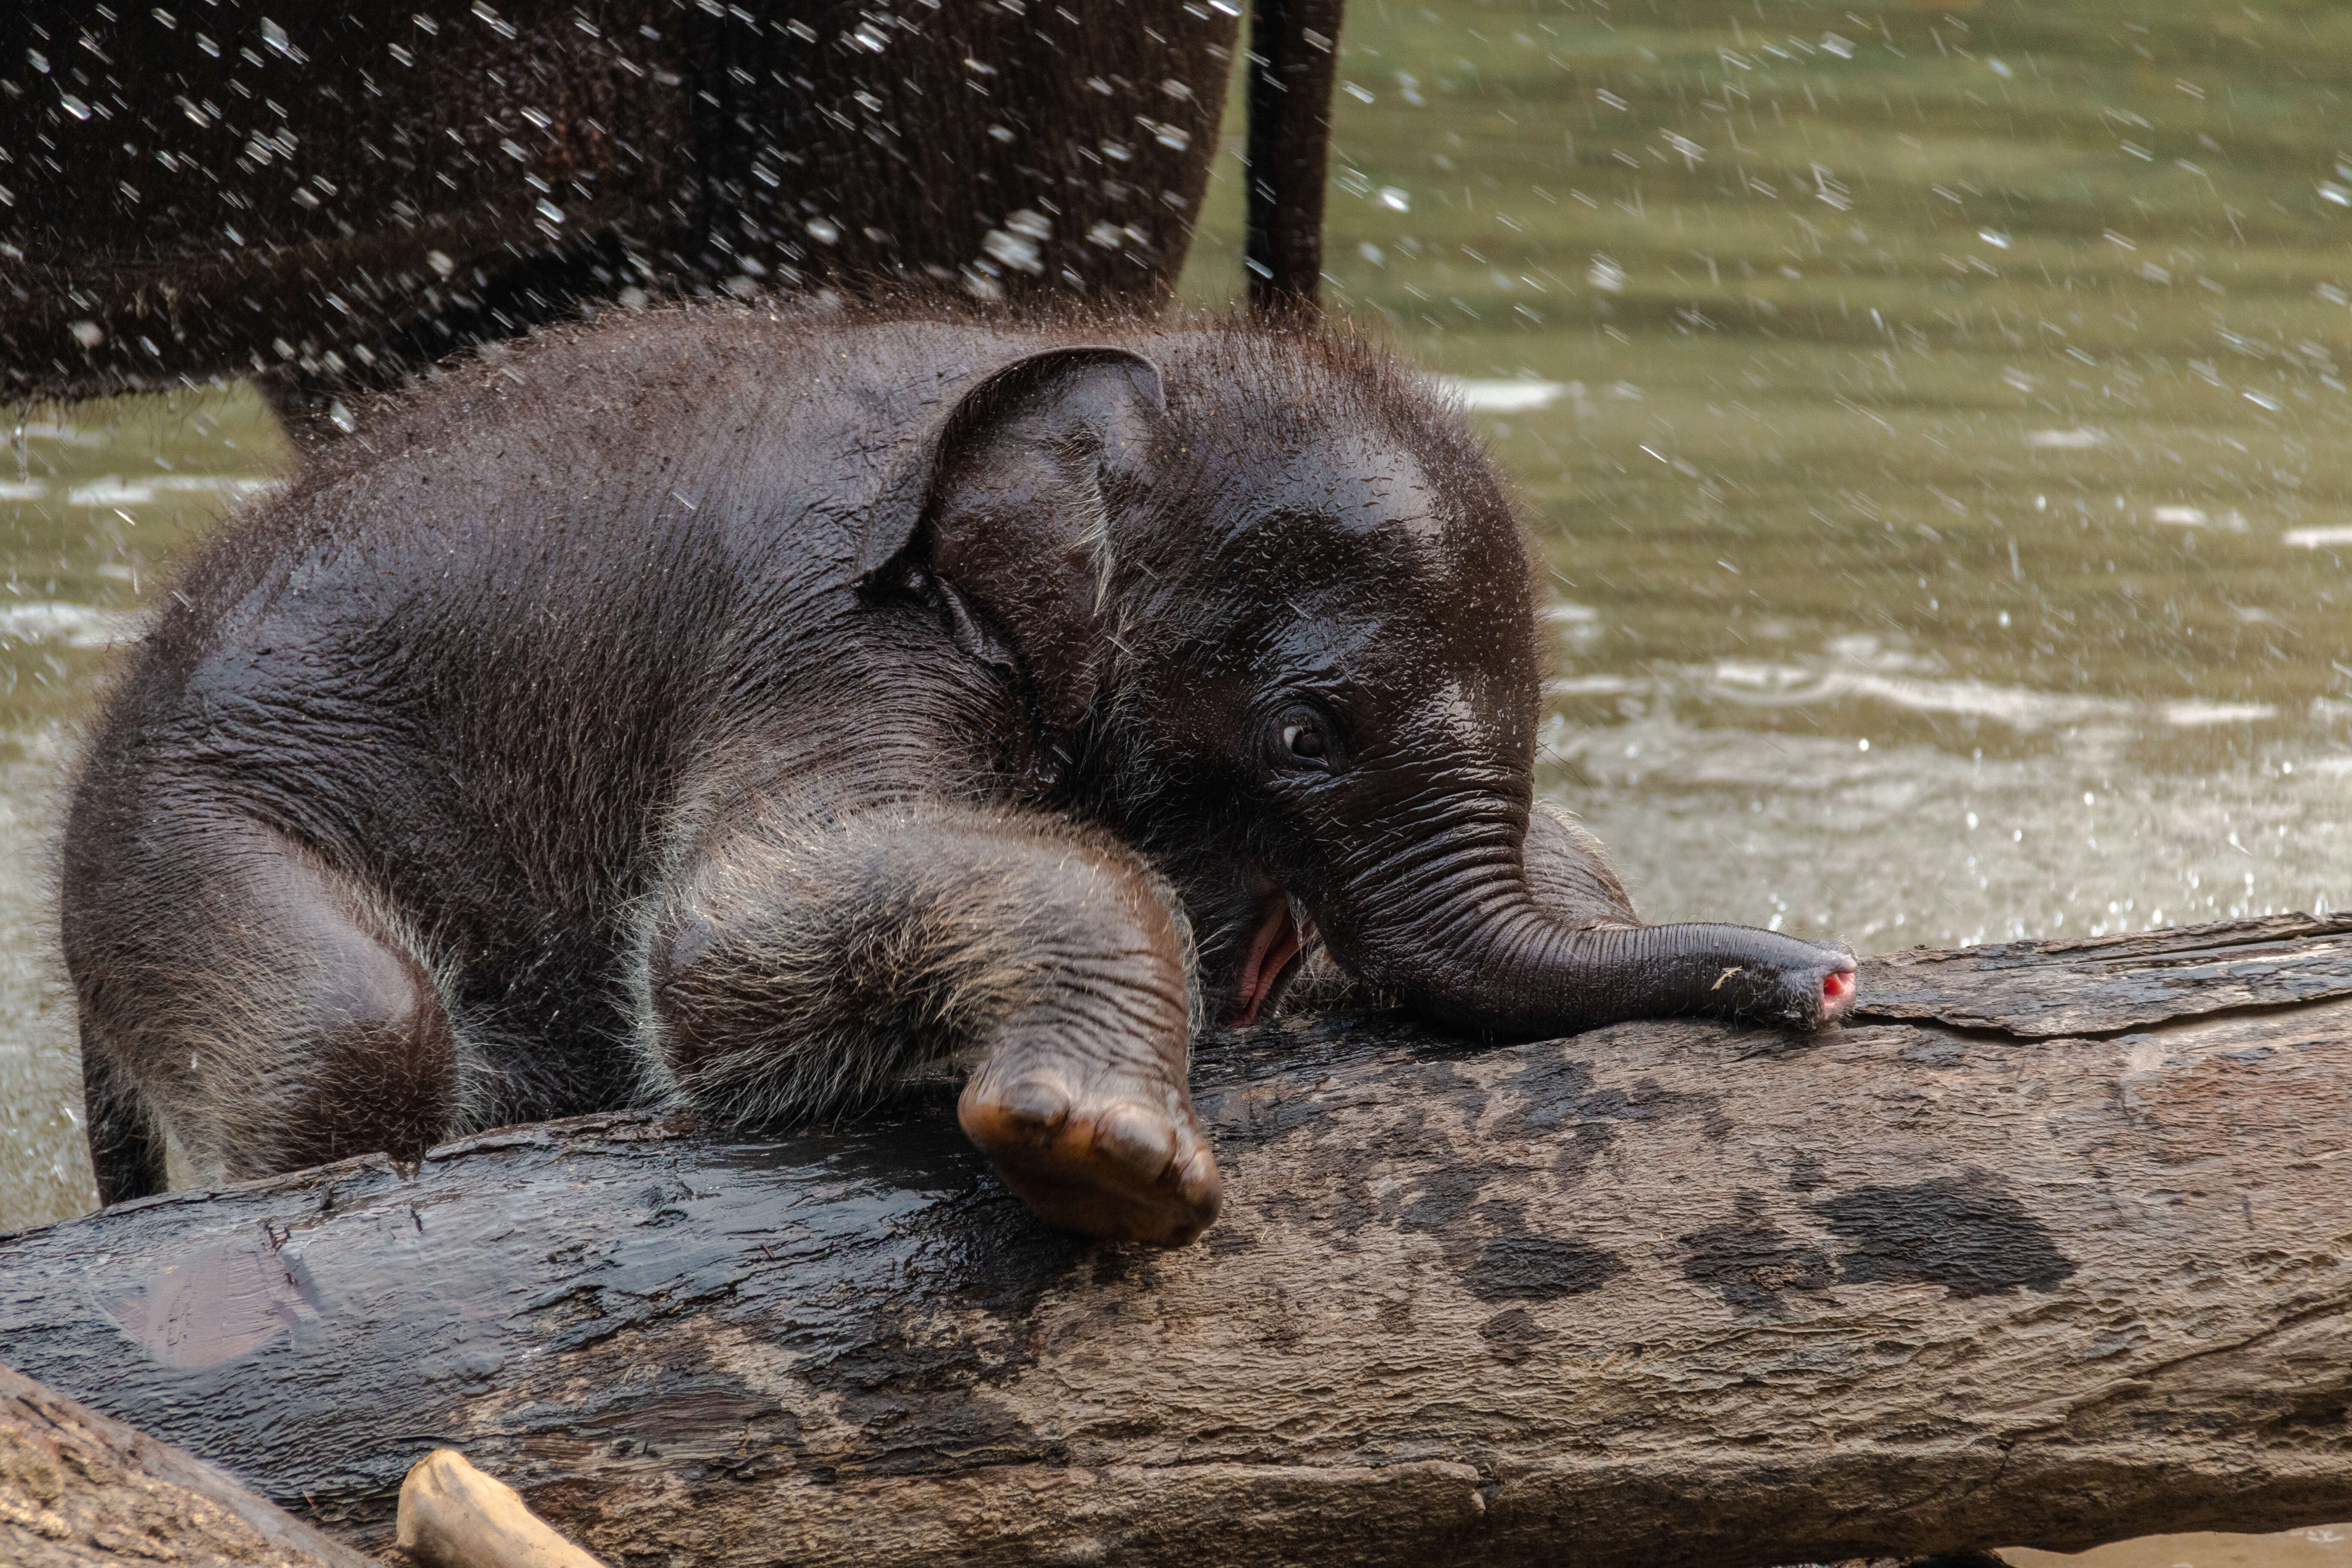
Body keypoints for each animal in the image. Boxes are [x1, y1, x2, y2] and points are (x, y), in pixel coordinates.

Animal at [59, 303, 1853, 1241]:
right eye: (1304, 736)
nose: (1822, 978)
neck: (1100, 370)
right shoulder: (832, 634)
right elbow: (722, 932)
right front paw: (1109, 1161)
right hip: (182, 825)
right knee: (351, 1038)